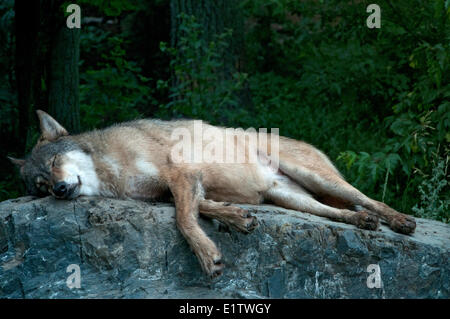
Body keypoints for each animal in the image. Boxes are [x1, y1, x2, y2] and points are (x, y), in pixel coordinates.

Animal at [8, 110, 416, 278]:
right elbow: (201, 207)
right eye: (40, 186)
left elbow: (185, 219)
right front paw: (236, 217)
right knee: (336, 212)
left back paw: (398, 221)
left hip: (320, 178)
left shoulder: (182, 174)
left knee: (370, 198)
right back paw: (362, 221)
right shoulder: (172, 188)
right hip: (290, 198)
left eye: (57, 161)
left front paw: (207, 256)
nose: (60, 189)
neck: (111, 169)